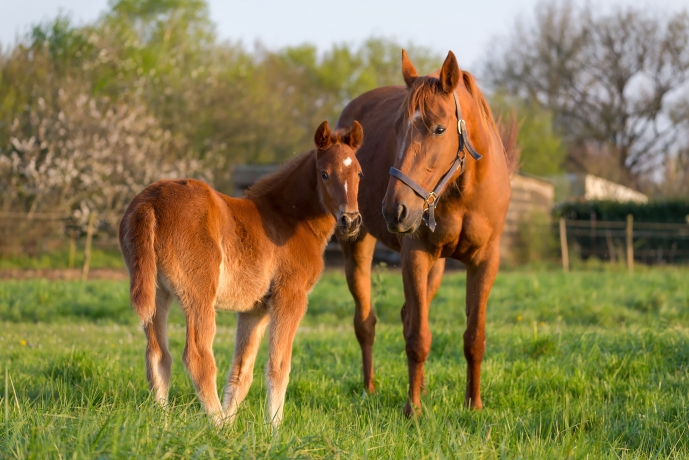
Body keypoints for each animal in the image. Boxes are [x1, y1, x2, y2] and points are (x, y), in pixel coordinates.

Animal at [120, 121, 362, 424]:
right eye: (324, 173)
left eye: (359, 173)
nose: (350, 220)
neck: (287, 218)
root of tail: (150, 203)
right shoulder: (290, 297)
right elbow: (279, 366)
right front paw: (273, 428)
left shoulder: (254, 310)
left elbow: (241, 373)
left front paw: (235, 428)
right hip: (198, 293)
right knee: (198, 357)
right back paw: (216, 425)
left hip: (156, 292)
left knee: (158, 356)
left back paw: (163, 423)